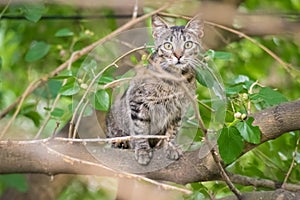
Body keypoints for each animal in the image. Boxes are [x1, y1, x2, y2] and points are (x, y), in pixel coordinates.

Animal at [105, 14, 204, 166]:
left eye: (188, 44)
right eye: (168, 45)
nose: (178, 55)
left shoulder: (179, 109)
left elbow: (172, 131)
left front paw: (170, 146)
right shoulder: (137, 101)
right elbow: (140, 128)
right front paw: (142, 150)